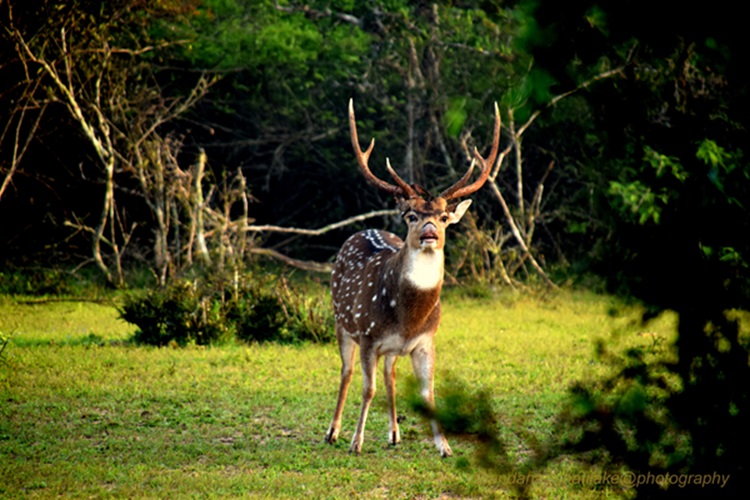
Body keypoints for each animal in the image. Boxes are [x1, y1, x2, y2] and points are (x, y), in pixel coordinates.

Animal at [326, 99, 502, 456]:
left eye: (445, 216)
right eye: (411, 215)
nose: (429, 232)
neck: (408, 317)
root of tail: (362, 230)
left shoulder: (426, 341)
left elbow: (427, 394)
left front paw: (445, 447)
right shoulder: (368, 335)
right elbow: (367, 389)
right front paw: (356, 443)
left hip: (390, 349)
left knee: (390, 374)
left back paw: (394, 434)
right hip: (341, 320)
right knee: (347, 372)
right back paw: (333, 432)